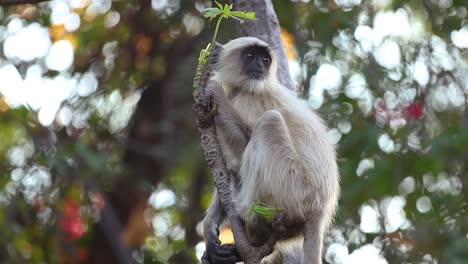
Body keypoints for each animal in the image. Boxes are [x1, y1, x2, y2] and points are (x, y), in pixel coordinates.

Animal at [202, 37, 340, 264]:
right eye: (250, 56)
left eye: (265, 60)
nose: (260, 65)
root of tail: (319, 211)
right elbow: (228, 166)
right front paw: (209, 231)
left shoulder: (249, 99)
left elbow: (241, 152)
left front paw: (213, 87)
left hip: (293, 187)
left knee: (269, 121)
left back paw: (244, 212)